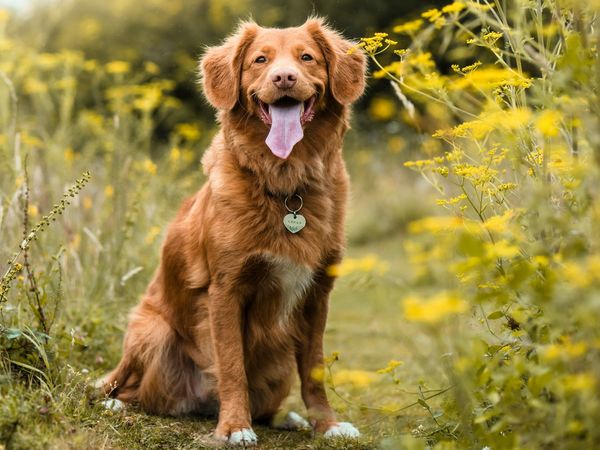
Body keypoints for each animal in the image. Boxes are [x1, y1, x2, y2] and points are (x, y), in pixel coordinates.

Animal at [102, 18, 366, 446]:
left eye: (306, 57)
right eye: (260, 60)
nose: (284, 77)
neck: (286, 185)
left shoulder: (317, 295)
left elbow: (314, 370)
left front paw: (326, 424)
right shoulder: (225, 290)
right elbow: (231, 366)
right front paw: (234, 427)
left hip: (278, 365)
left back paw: (288, 417)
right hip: (151, 331)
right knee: (131, 389)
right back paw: (118, 404)